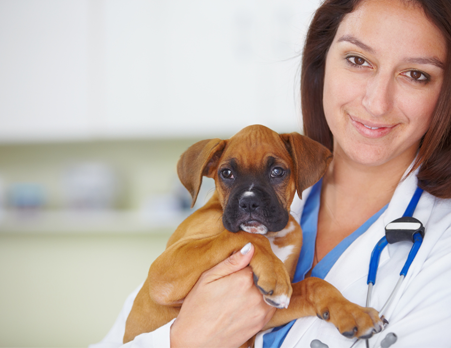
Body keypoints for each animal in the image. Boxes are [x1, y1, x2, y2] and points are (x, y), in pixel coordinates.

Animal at [122, 124, 382, 346]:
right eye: (226, 173)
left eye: (277, 171)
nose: (248, 202)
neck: (273, 236)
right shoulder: (163, 272)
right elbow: (247, 237)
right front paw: (273, 272)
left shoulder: (267, 312)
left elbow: (314, 284)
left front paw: (353, 312)